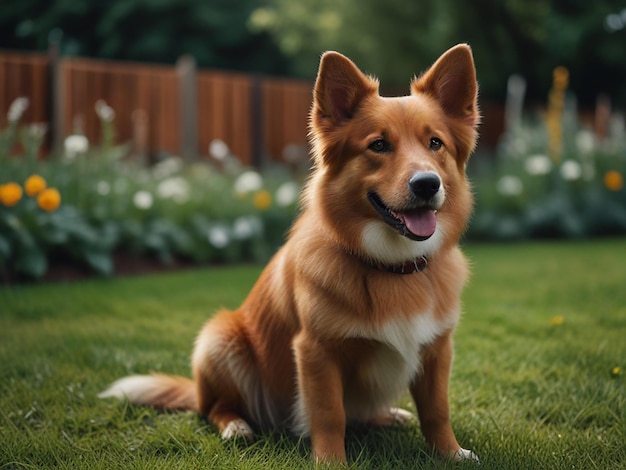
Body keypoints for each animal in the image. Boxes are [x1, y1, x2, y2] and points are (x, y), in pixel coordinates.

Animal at [100, 46, 478, 464]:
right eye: (378, 145)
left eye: (435, 144)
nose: (427, 184)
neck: (390, 265)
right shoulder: (316, 351)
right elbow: (329, 414)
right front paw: (331, 463)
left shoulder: (438, 349)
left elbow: (437, 410)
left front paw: (450, 453)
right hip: (219, 340)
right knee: (214, 408)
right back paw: (236, 425)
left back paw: (388, 415)